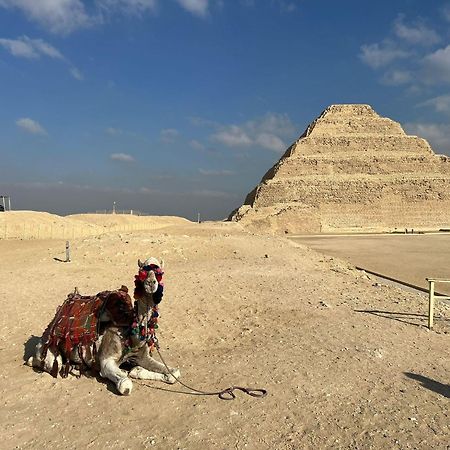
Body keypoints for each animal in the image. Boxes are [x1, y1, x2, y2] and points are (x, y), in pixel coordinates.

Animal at [26, 258, 179, 396]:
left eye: (159, 273)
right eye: (142, 272)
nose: (151, 283)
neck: (130, 334)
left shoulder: (142, 356)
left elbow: (174, 373)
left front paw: (138, 371)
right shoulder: (106, 361)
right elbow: (125, 384)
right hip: (48, 350)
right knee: (47, 364)